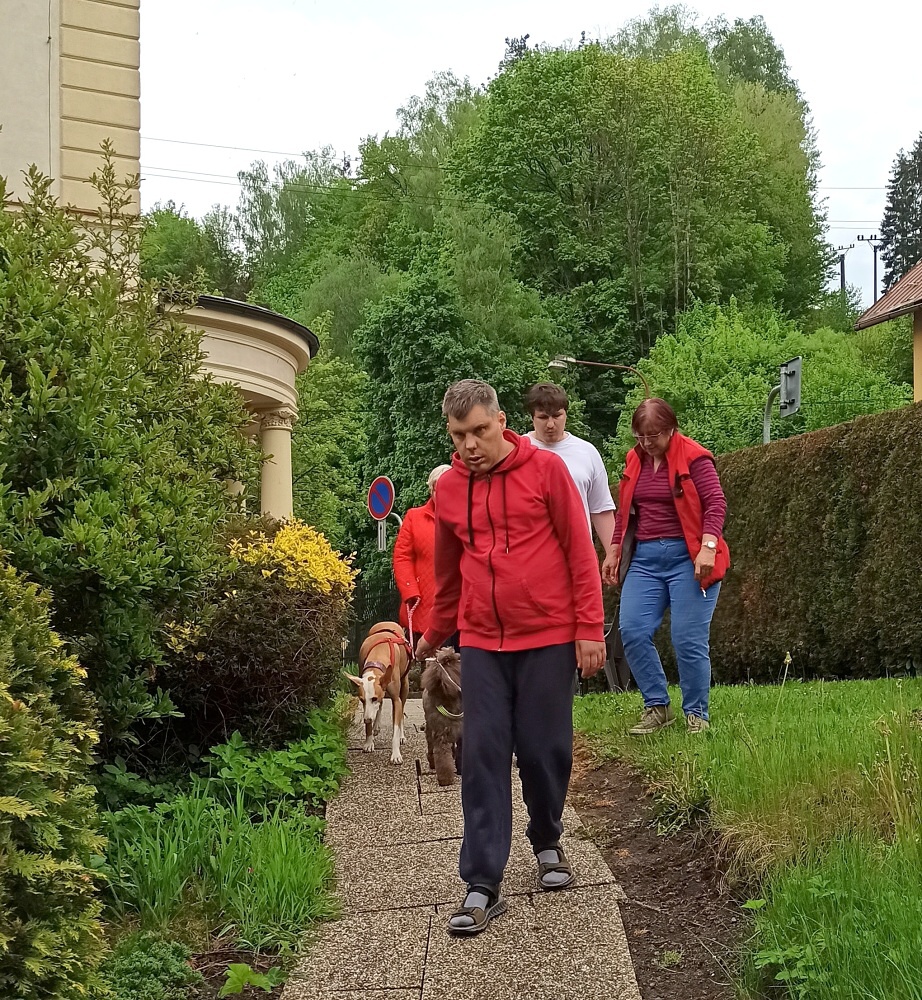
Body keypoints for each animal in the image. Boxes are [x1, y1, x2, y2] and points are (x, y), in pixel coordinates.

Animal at [346, 621, 412, 764]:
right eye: (361, 700)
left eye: (374, 698)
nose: (367, 719)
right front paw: (368, 742)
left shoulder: (395, 700)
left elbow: (396, 726)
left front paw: (396, 754)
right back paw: (376, 726)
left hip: (405, 685)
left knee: (402, 707)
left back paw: (402, 736)